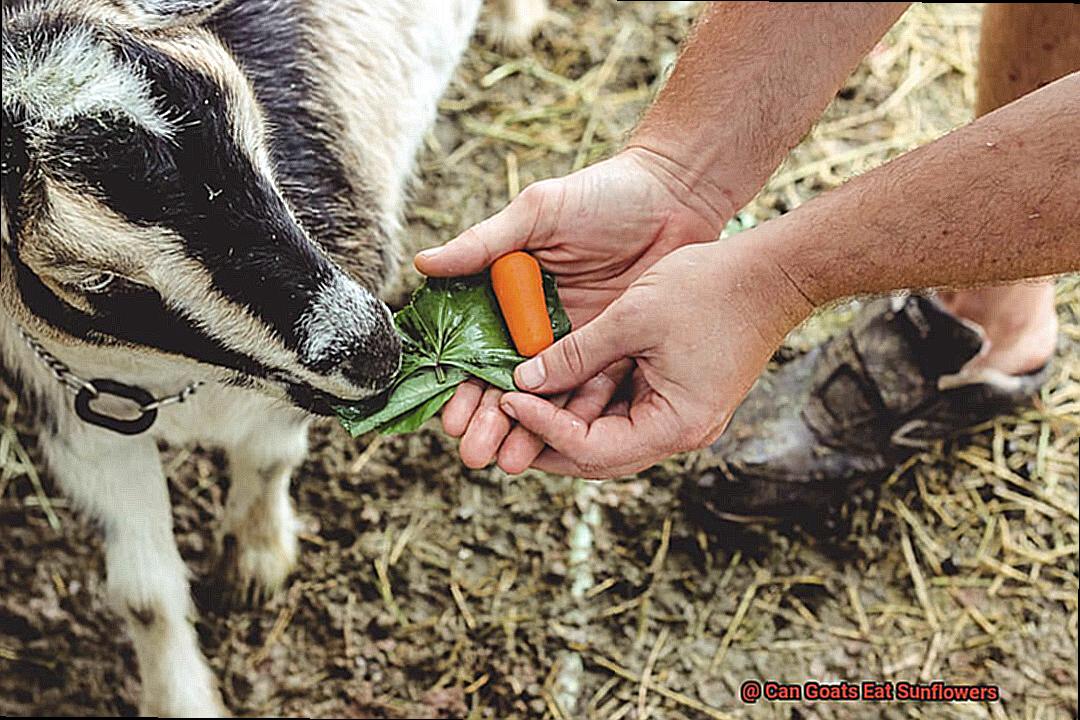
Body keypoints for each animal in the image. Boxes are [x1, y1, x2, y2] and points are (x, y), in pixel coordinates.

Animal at [0, 0, 540, 716]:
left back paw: (515, 23)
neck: (176, 377)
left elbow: (267, 456)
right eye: (98, 281)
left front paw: (256, 560)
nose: (373, 348)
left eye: (253, 136)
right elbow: (144, 593)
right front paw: (182, 698)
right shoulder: (75, 411)